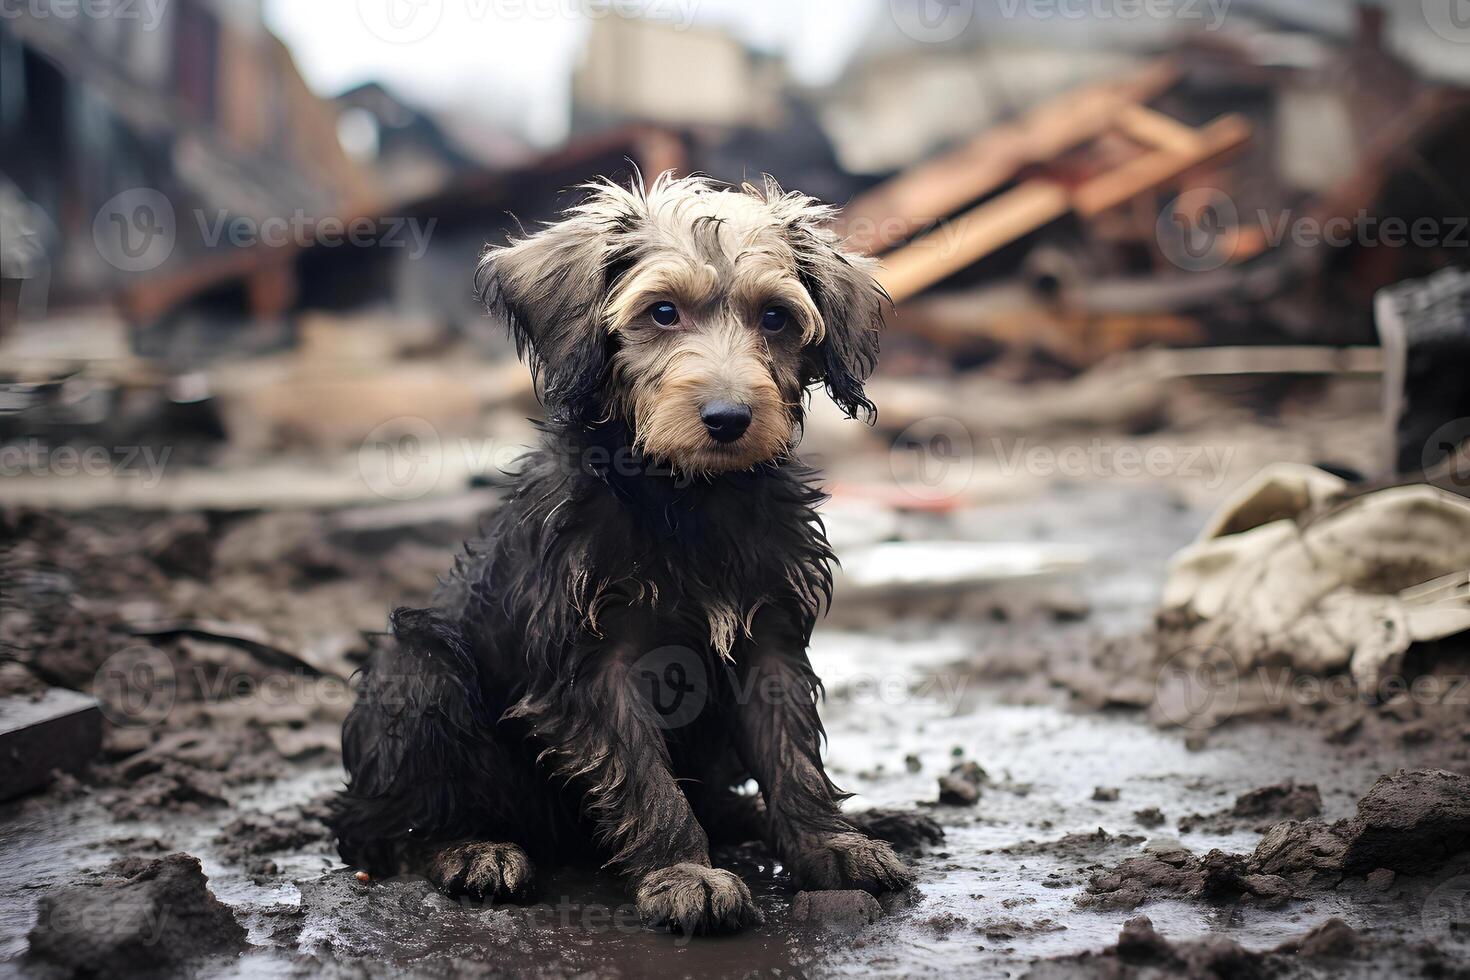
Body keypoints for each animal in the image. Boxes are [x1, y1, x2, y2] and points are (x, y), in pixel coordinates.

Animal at [327, 174, 934, 934]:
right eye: (662, 312)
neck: (686, 497)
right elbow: (644, 776)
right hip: (418, 670)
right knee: (381, 830)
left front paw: (829, 845)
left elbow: (792, 753)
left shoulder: (769, 641)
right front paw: (685, 874)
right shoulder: (592, 664)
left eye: (775, 318)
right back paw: (472, 851)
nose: (730, 419)